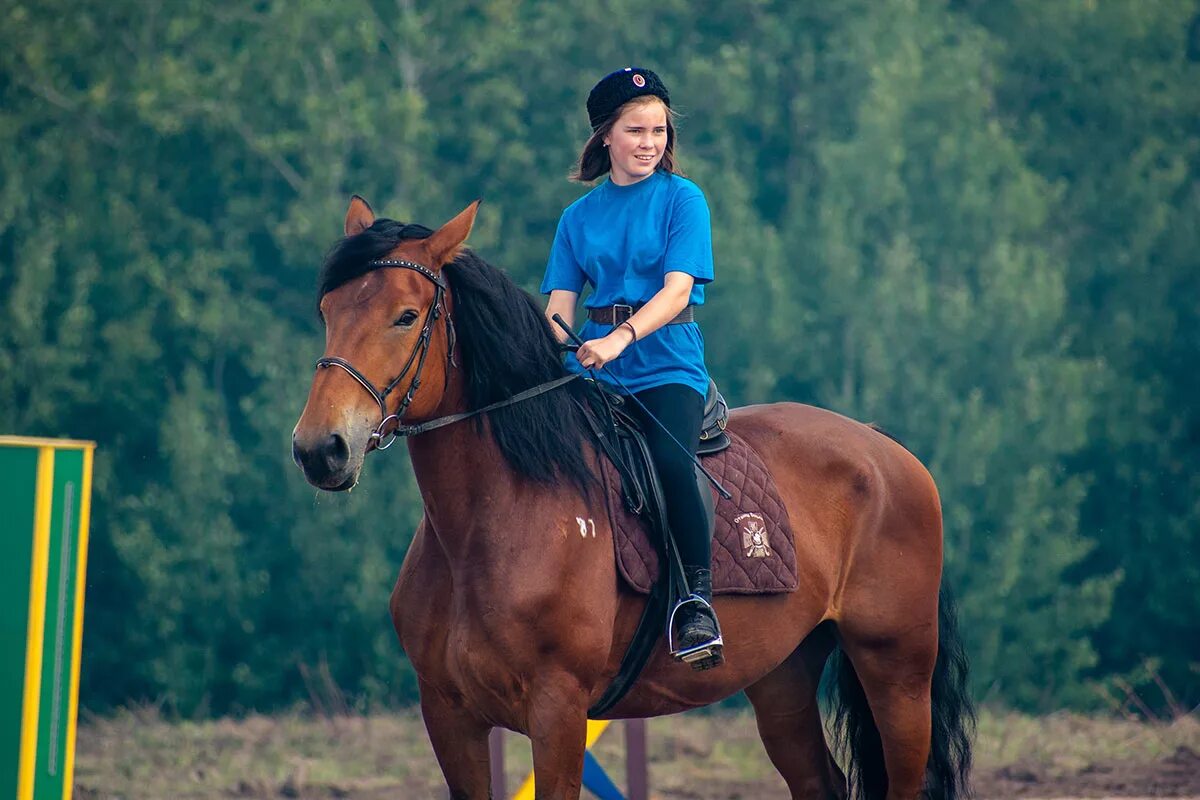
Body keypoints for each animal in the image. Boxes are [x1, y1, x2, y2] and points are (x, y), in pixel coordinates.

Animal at [290, 195, 974, 800]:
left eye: (405, 316)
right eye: (328, 309)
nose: (320, 449)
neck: (491, 523)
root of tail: (885, 450)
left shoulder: (558, 709)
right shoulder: (449, 716)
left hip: (896, 672)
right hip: (783, 678)